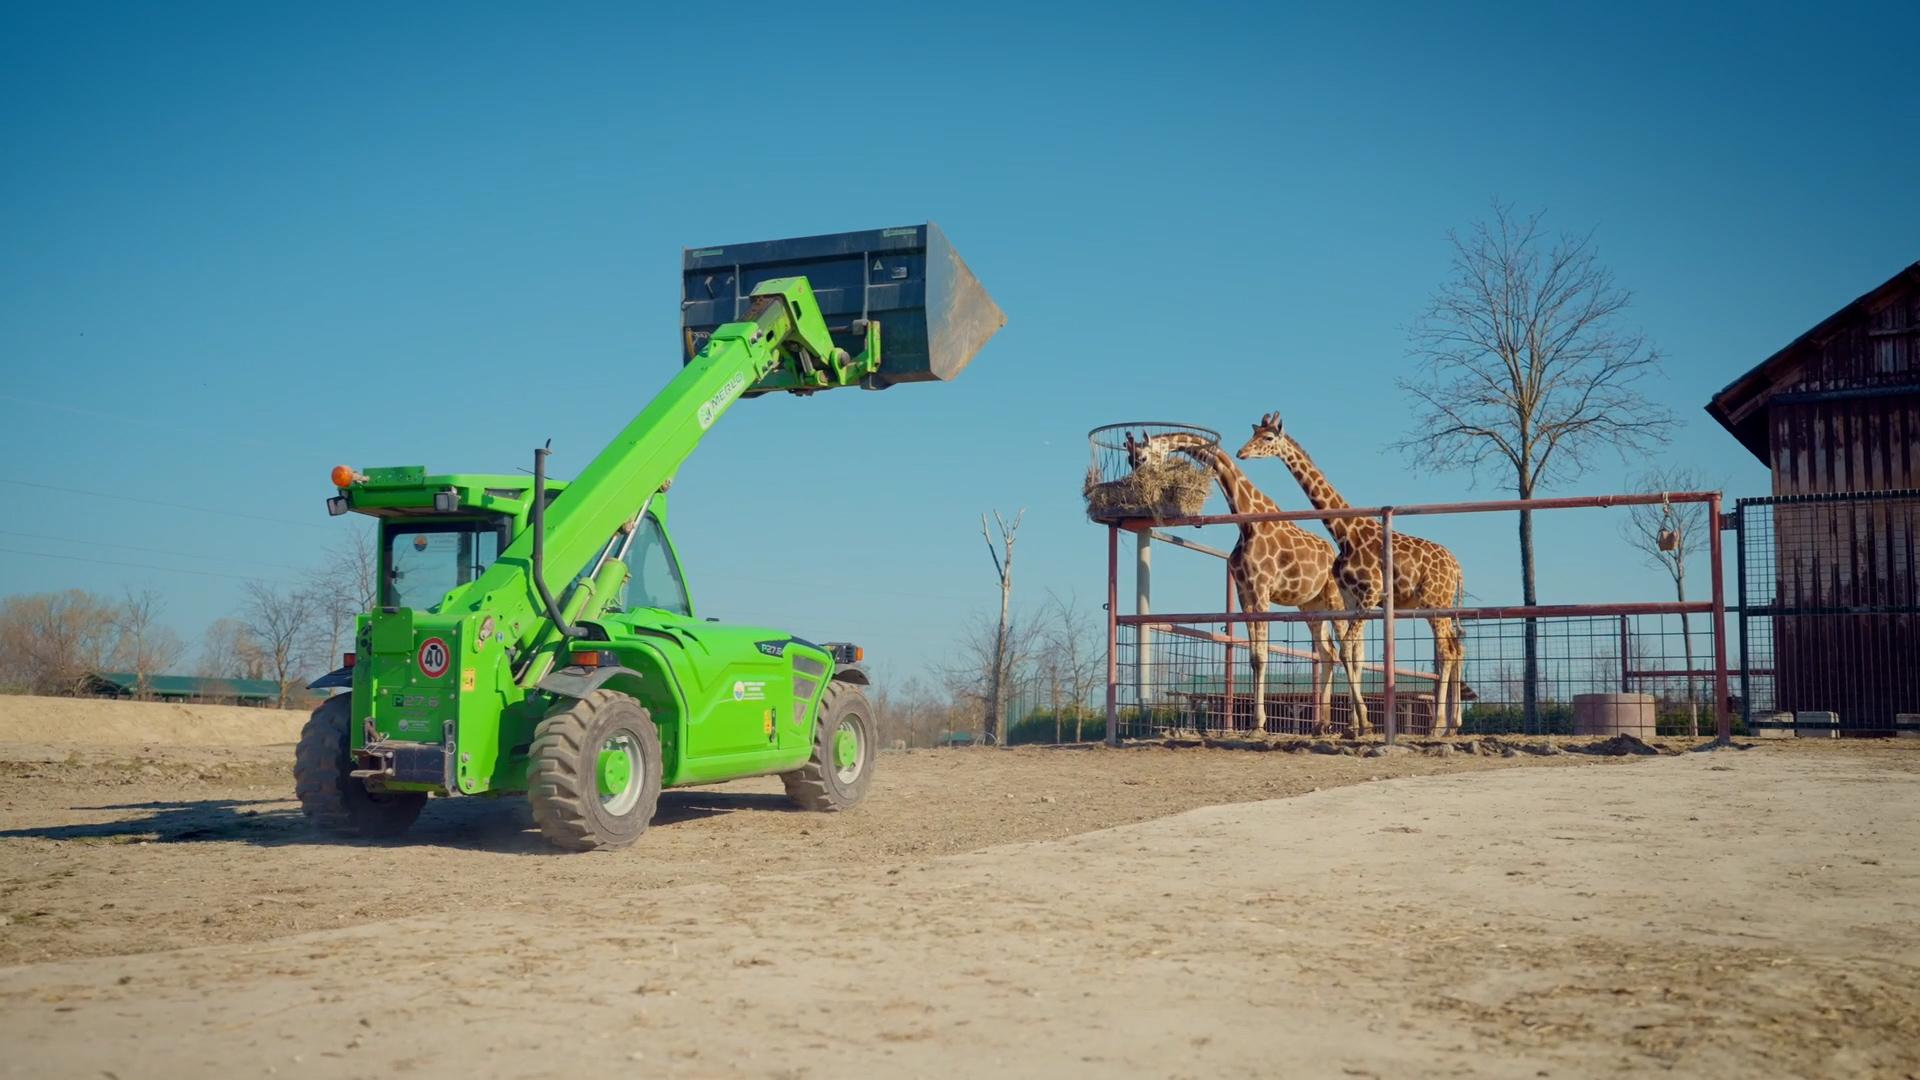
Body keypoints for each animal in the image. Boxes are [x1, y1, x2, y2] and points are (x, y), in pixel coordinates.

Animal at [1128, 428, 1374, 730]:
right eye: (1129, 459)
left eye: (1141, 457)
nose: (1136, 486)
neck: (1245, 520)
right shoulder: (1245, 592)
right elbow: (1255, 658)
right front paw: (1255, 723)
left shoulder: (1261, 590)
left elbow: (1262, 654)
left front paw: (1259, 722)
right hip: (1311, 606)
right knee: (1327, 652)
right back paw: (1323, 724)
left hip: (1336, 600)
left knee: (1350, 651)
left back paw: (1359, 722)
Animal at [1236, 411, 1459, 730]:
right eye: (1253, 433)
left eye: (1267, 438)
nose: (1241, 452)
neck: (1344, 532)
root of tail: (1457, 566)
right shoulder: (1353, 598)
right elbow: (1353, 654)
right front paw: (1359, 722)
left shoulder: (1371, 594)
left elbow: (1345, 651)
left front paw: (1363, 721)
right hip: (1438, 606)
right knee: (1455, 648)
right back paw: (1451, 724)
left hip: (1434, 603)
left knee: (1447, 651)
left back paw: (1438, 725)